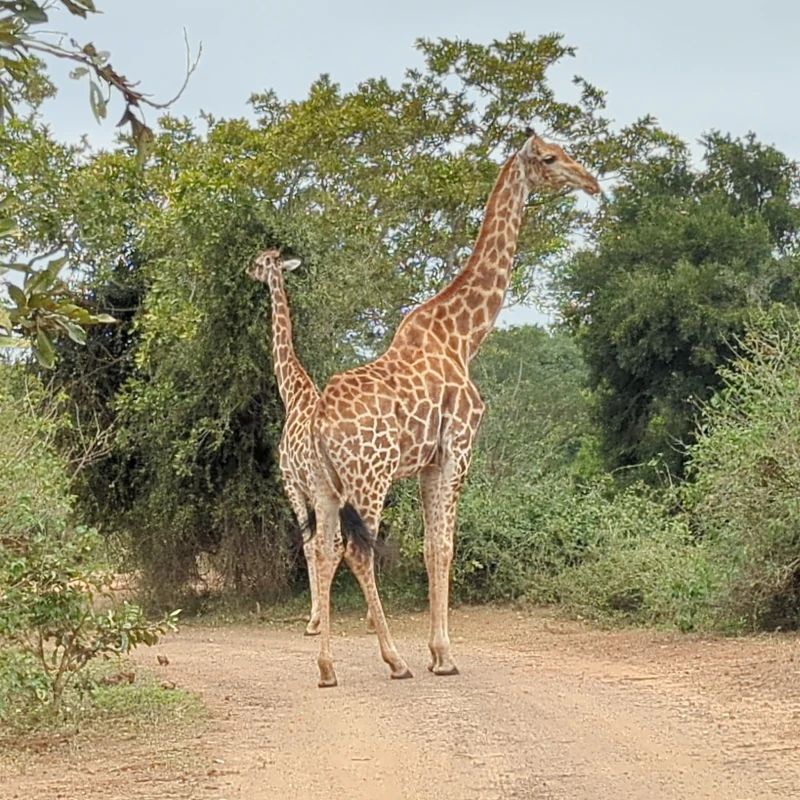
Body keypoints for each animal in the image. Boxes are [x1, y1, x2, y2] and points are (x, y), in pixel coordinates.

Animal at [245, 250, 376, 636]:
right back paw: (370, 617)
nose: (246, 270)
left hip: (326, 489)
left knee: (329, 543)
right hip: (358, 488)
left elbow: (306, 545)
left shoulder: (292, 483)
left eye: (259, 262)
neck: (292, 392)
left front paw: (315, 616)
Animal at [306, 131, 600, 688]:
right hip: (370, 477)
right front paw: (442, 655)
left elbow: (428, 547)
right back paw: (394, 660)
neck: (464, 336)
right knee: (357, 552)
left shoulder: (425, 464)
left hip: (325, 486)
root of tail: (317, 424)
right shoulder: (457, 449)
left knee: (325, 550)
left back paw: (328, 667)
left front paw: (435, 650)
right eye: (550, 158)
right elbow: (445, 546)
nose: (591, 181)